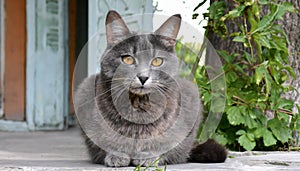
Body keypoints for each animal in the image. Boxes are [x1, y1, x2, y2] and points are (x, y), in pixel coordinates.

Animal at [74, 10, 226, 167]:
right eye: (128, 59)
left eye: (157, 61)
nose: (143, 77)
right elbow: (108, 141)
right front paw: (117, 155)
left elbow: (163, 143)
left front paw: (147, 156)